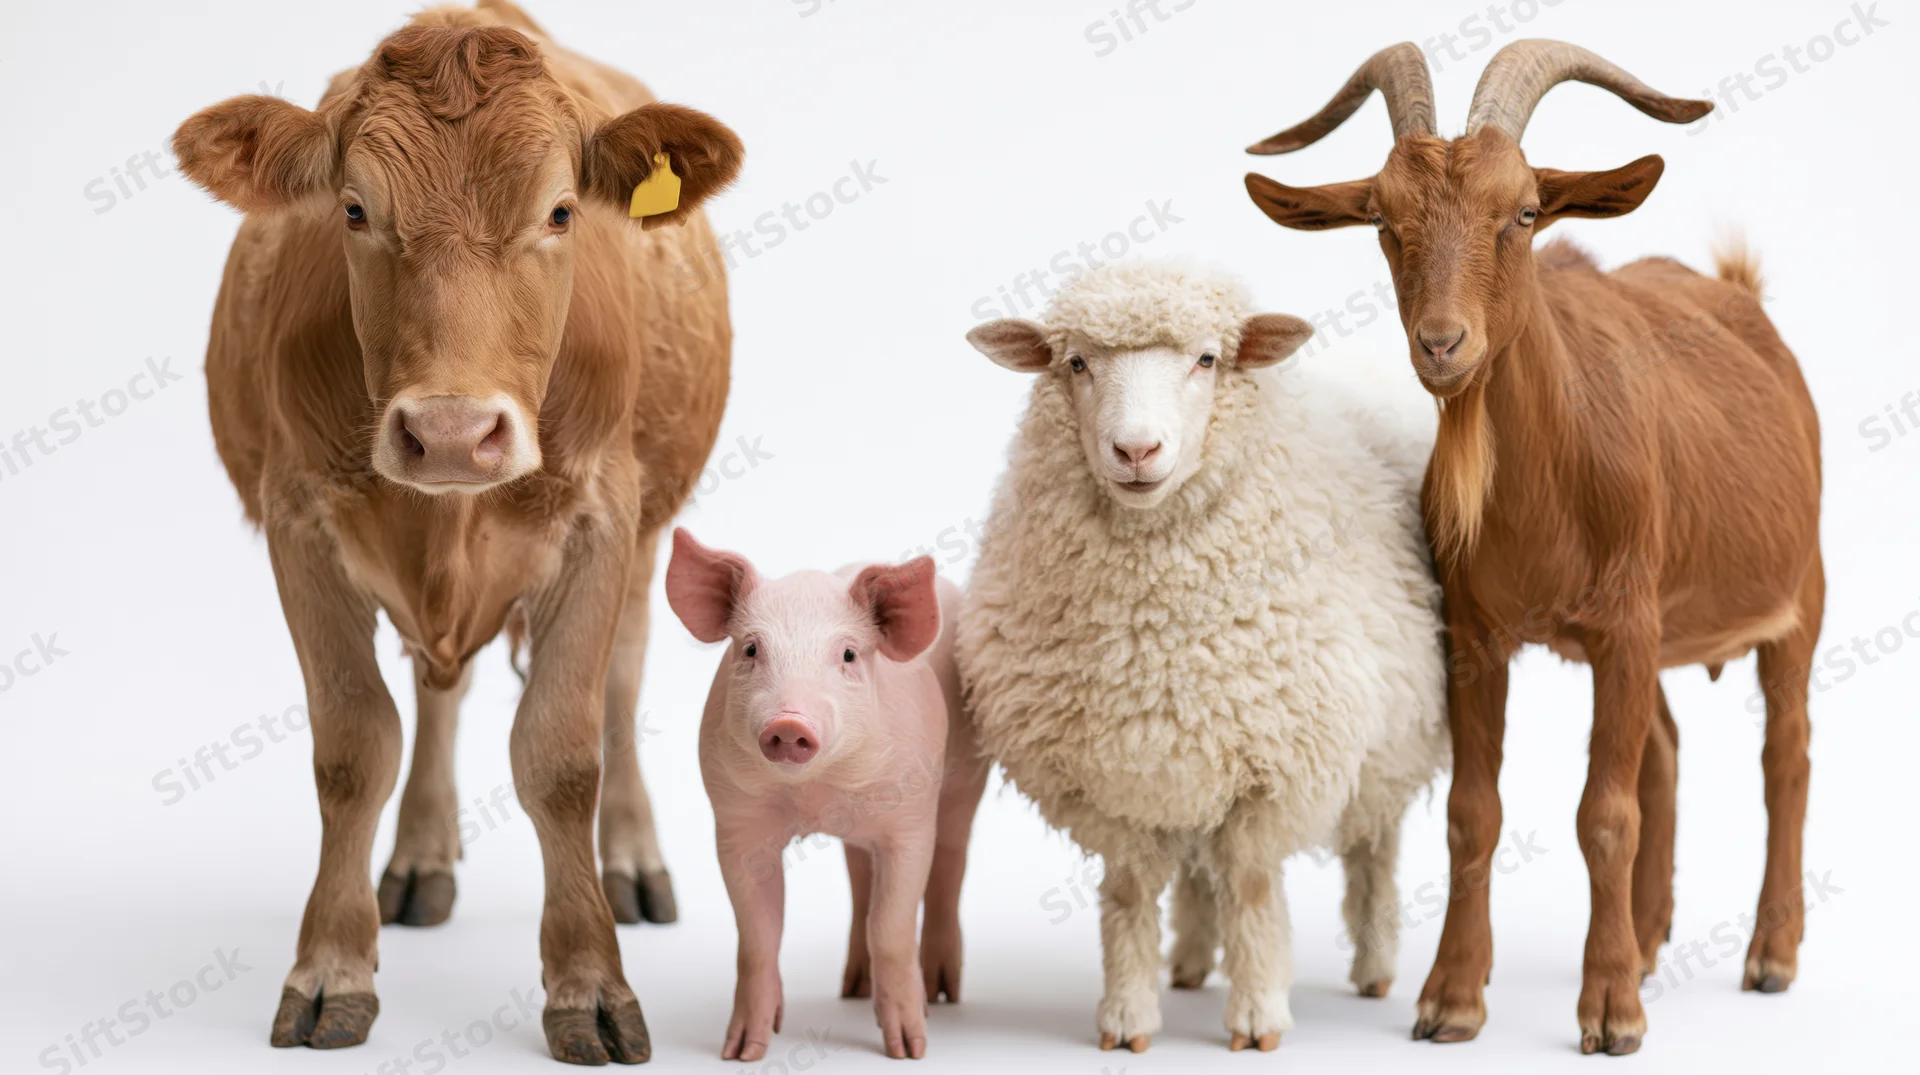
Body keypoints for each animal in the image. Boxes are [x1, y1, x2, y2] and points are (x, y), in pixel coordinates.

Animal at [172, 1, 743, 1063]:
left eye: (561, 212)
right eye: (355, 210)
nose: (447, 431)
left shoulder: (601, 518)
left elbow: (561, 754)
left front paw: (589, 983)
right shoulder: (298, 519)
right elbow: (355, 747)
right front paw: (332, 967)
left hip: (651, 529)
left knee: (623, 683)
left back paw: (634, 862)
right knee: (436, 693)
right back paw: (419, 858)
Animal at [956, 257, 1449, 1052]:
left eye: (1209, 359)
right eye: (1075, 362)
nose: (1135, 451)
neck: (1152, 633)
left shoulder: (1278, 771)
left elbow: (1250, 885)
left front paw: (1257, 1016)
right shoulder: (1111, 779)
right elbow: (1131, 892)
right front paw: (1128, 1017)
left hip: (1389, 739)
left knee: (1373, 845)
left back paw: (1374, 967)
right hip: (1189, 751)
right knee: (1195, 863)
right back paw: (1189, 960)